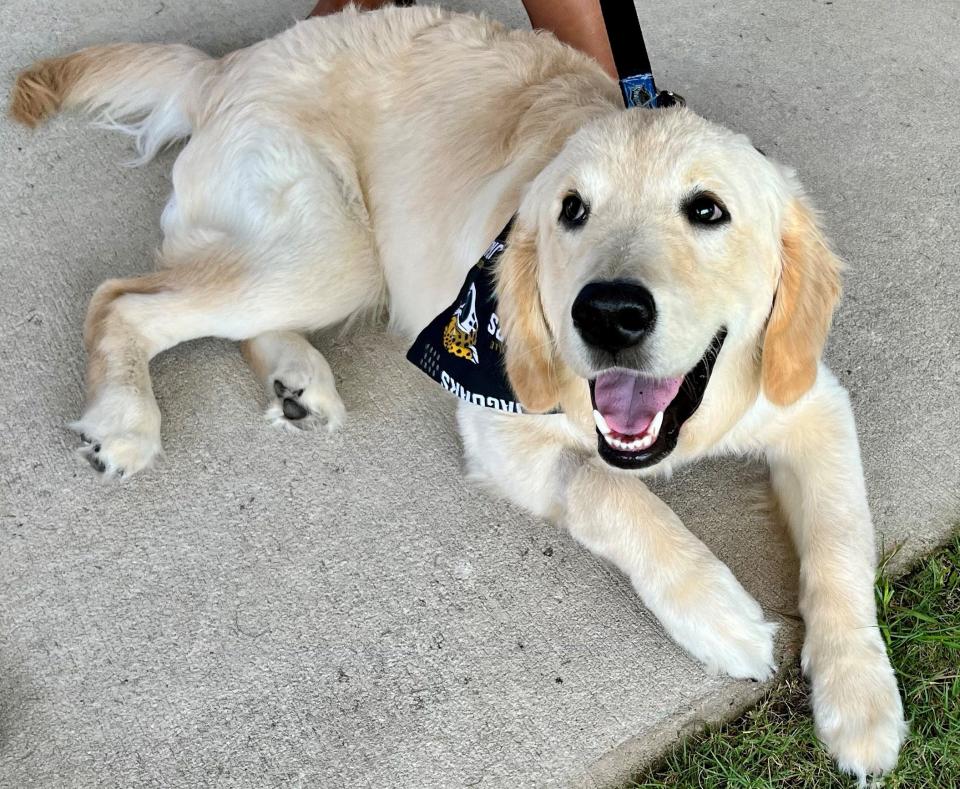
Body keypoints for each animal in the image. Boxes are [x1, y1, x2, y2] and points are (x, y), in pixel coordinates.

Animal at [9, 4, 908, 780]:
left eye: (708, 210)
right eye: (571, 210)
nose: (606, 313)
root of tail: (232, 62)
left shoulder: (811, 400)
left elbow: (839, 540)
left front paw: (861, 700)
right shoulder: (500, 421)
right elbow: (614, 493)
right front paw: (721, 616)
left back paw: (297, 380)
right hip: (332, 246)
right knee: (122, 298)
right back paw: (125, 418)